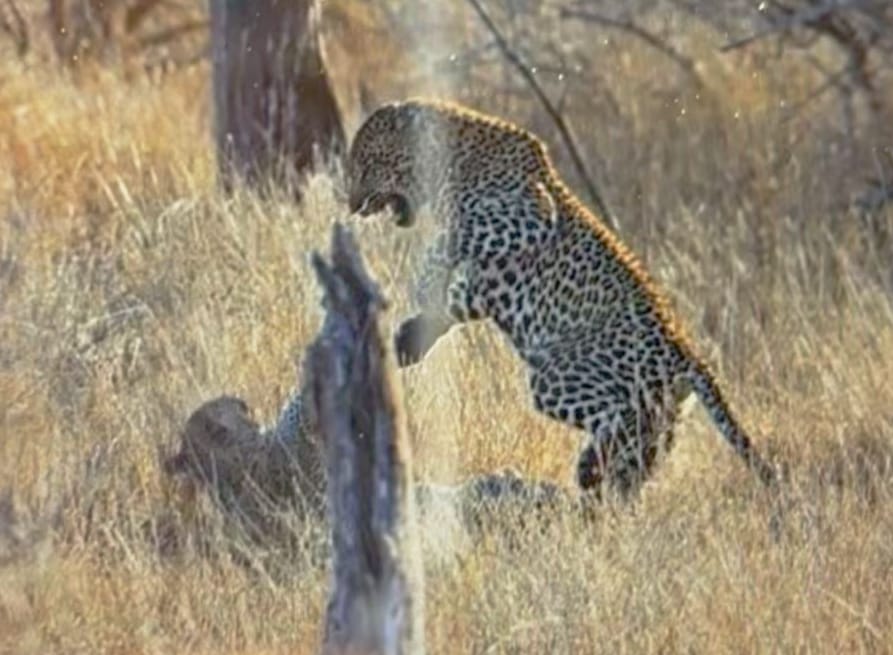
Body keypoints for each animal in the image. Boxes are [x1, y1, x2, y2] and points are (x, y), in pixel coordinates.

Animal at [346, 98, 777, 500]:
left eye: (365, 164)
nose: (351, 205)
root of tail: (686, 351)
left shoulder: (527, 216)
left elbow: (451, 239)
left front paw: (422, 283)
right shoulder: (485, 283)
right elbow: (455, 303)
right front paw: (409, 340)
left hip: (556, 377)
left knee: (621, 422)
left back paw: (594, 469)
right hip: (656, 410)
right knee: (645, 450)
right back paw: (603, 481)